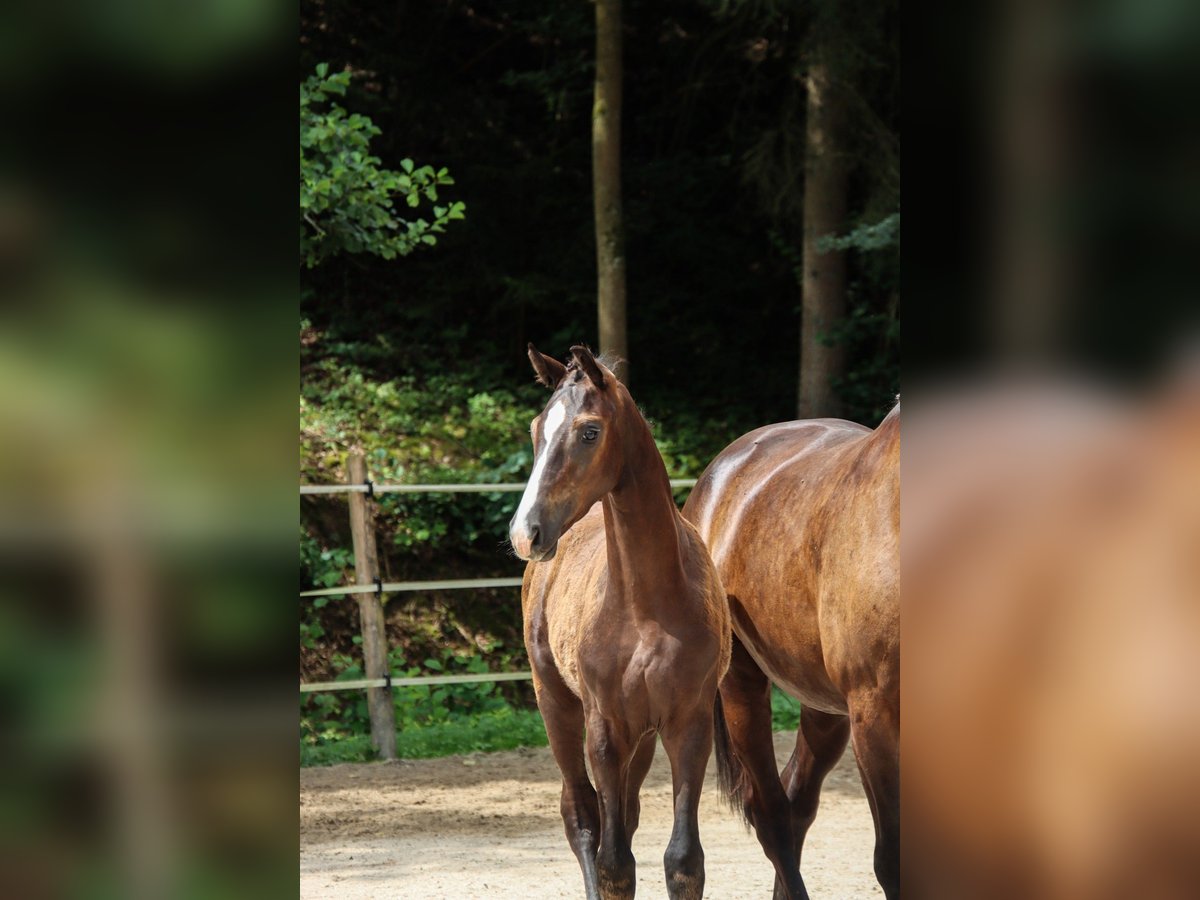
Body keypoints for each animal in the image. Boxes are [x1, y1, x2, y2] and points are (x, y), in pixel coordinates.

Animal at [508, 345, 729, 900]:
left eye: (589, 431)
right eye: (536, 427)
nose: (525, 533)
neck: (644, 606)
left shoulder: (688, 723)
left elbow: (683, 860)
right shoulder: (604, 726)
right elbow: (613, 863)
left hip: (643, 735)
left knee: (624, 815)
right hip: (556, 703)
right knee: (582, 816)